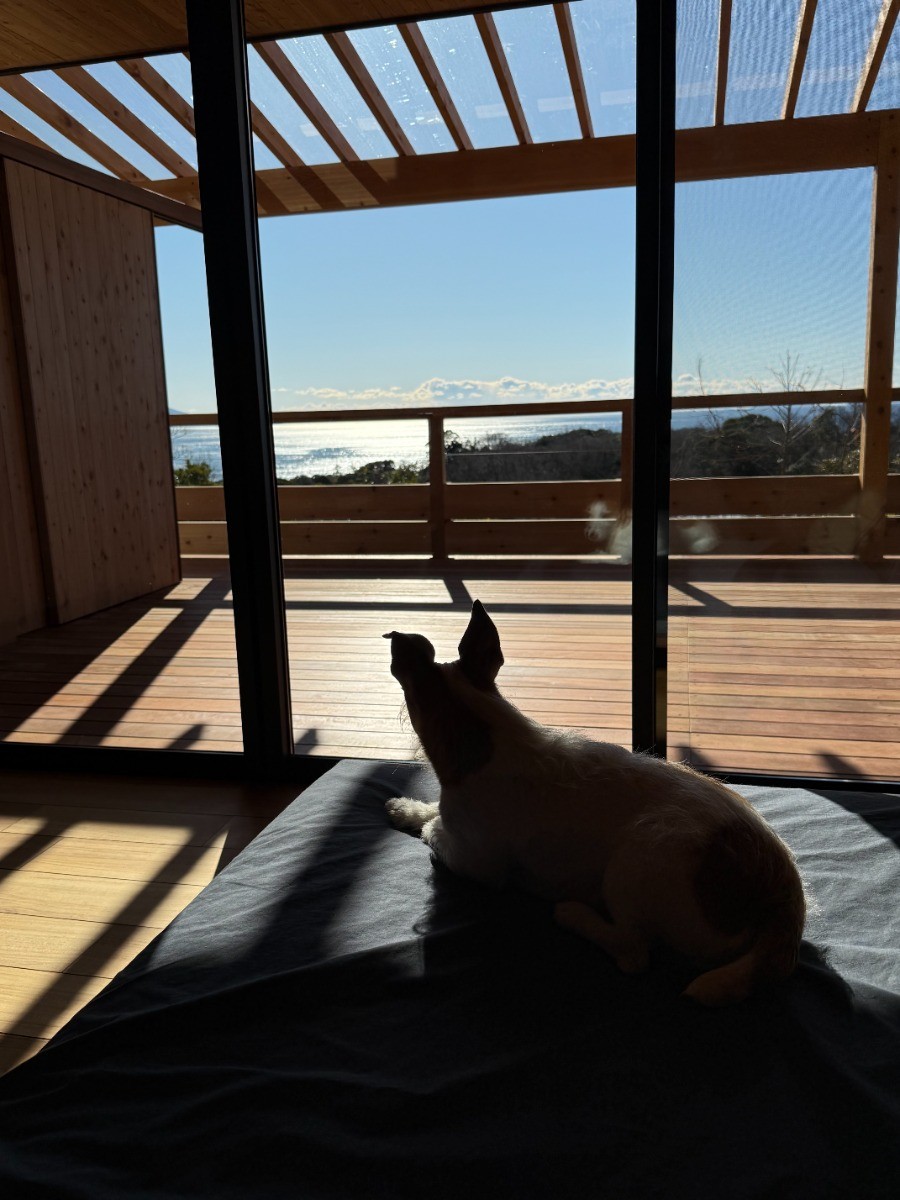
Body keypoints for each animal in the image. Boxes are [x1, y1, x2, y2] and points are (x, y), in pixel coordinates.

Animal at [384, 600, 805, 1006]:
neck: (484, 737)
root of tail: (782, 898)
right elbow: (431, 809)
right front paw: (405, 808)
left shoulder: (475, 862)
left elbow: (435, 830)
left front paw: (421, 821)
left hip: (636, 863)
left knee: (634, 952)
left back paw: (575, 914)